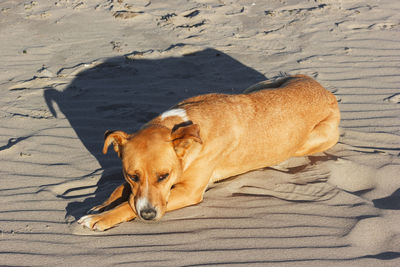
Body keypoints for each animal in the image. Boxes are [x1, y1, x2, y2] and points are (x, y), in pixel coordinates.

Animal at [77, 74, 338, 231]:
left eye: (164, 176)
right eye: (132, 176)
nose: (149, 215)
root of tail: (325, 90)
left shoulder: (187, 193)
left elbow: (129, 204)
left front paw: (102, 217)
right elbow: (121, 190)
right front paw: (102, 205)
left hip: (312, 140)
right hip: (259, 85)